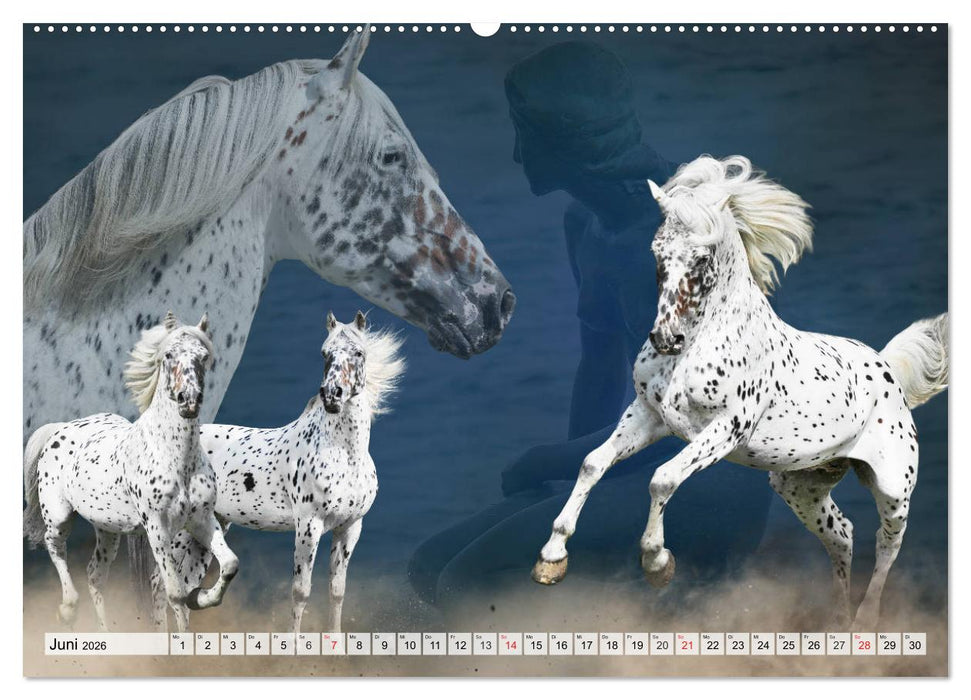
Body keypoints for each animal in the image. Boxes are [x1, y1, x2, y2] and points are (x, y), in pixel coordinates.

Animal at [23, 312, 239, 632]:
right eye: (169, 355)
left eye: (203, 356)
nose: (188, 400)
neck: (177, 460)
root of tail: (59, 429)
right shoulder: (157, 530)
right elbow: (174, 593)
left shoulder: (201, 520)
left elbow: (229, 565)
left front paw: (200, 598)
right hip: (59, 516)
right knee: (55, 546)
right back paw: (68, 609)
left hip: (108, 530)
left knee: (94, 575)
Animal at [155, 311, 405, 634]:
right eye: (325, 353)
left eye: (359, 353)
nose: (332, 396)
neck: (345, 456)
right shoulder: (308, 525)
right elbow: (300, 592)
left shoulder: (350, 527)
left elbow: (337, 590)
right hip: (175, 534)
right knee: (160, 590)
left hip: (205, 532)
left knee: (185, 587)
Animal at [530, 155, 949, 629]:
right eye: (657, 252)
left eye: (702, 256)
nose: (665, 338)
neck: (699, 345)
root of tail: (887, 368)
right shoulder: (649, 416)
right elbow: (592, 462)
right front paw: (551, 558)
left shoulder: (726, 428)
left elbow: (662, 478)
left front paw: (657, 563)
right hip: (801, 486)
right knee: (842, 534)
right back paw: (837, 624)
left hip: (894, 487)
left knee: (887, 543)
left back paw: (865, 622)